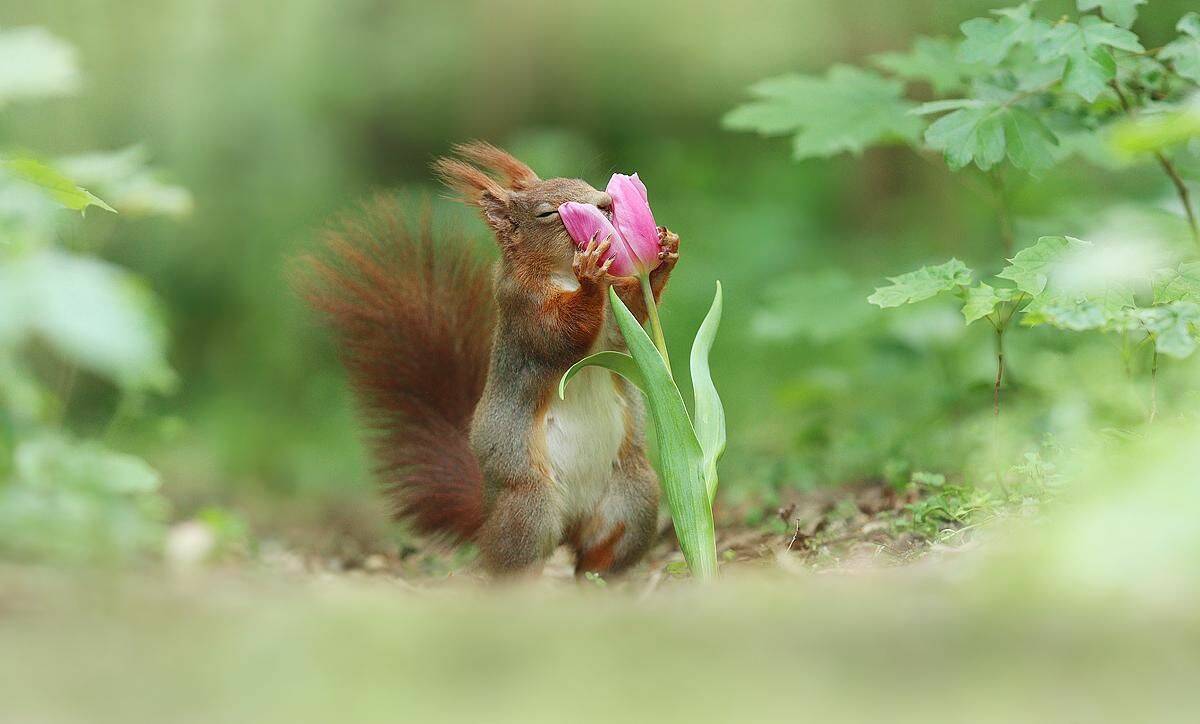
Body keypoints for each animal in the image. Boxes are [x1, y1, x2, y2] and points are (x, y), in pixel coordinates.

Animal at [300, 142, 681, 578]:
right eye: (548, 213)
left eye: (585, 183)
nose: (605, 203)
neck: (560, 272)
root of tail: (488, 511)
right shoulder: (522, 308)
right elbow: (559, 335)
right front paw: (589, 276)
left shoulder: (615, 319)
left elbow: (630, 315)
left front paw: (665, 252)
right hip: (530, 509)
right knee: (508, 563)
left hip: (633, 497)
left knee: (597, 554)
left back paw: (599, 578)